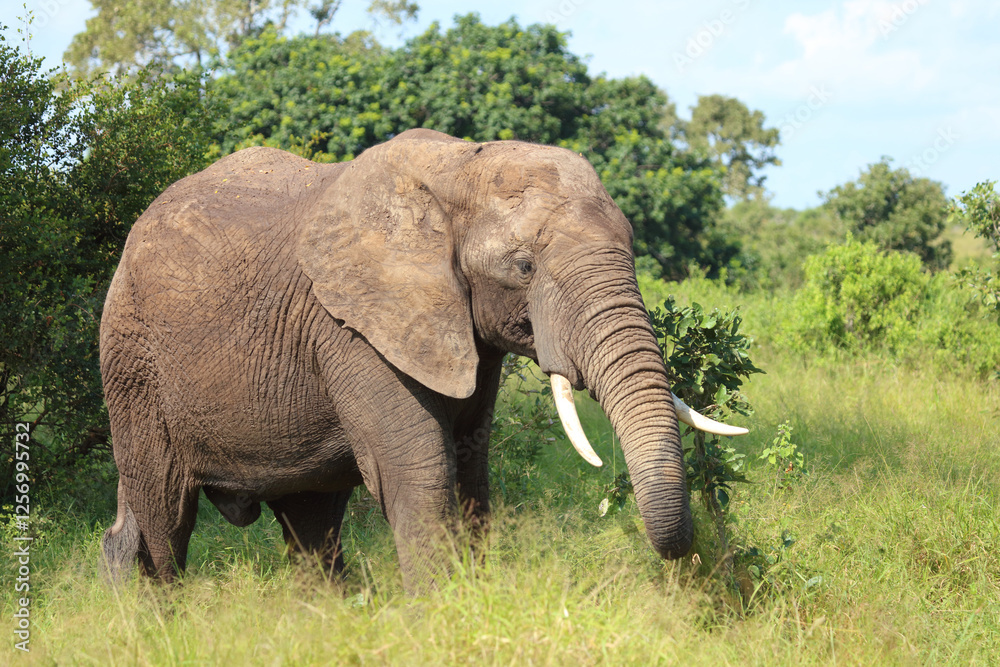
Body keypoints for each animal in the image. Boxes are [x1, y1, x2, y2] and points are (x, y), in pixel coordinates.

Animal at [99, 128, 745, 588]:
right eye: (523, 266)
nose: (689, 561)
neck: (457, 170)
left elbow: (471, 471)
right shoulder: (354, 330)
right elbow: (421, 473)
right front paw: (443, 616)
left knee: (309, 523)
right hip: (132, 361)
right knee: (164, 513)